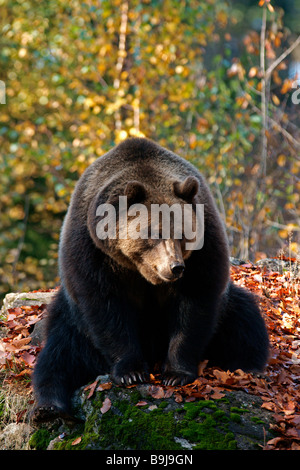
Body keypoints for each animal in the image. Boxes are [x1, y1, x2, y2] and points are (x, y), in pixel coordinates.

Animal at [31, 137, 268, 422]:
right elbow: (106, 308)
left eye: (183, 233)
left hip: (229, 308)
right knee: (59, 353)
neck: (139, 271)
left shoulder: (204, 250)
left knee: (244, 320)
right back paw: (48, 407)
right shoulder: (93, 251)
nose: (175, 267)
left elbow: (195, 305)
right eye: (154, 232)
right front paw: (131, 372)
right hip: (71, 319)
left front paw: (176, 374)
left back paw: (247, 366)